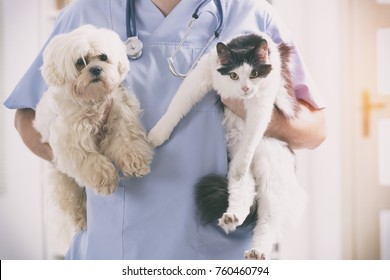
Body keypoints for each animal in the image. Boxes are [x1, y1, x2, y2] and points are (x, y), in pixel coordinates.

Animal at [34, 24, 154, 230]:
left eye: (103, 57)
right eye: (80, 62)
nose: (96, 69)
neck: (92, 100)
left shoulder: (119, 115)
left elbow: (127, 141)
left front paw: (135, 162)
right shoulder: (72, 142)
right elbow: (92, 161)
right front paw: (106, 180)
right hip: (63, 181)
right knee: (71, 201)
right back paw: (80, 219)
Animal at [148, 33, 306, 260]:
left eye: (254, 73)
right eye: (233, 75)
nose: (245, 88)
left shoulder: (262, 102)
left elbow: (253, 134)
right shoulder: (203, 74)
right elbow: (177, 105)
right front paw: (157, 135)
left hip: (273, 181)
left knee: (267, 222)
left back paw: (257, 251)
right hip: (240, 173)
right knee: (243, 193)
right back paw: (231, 218)